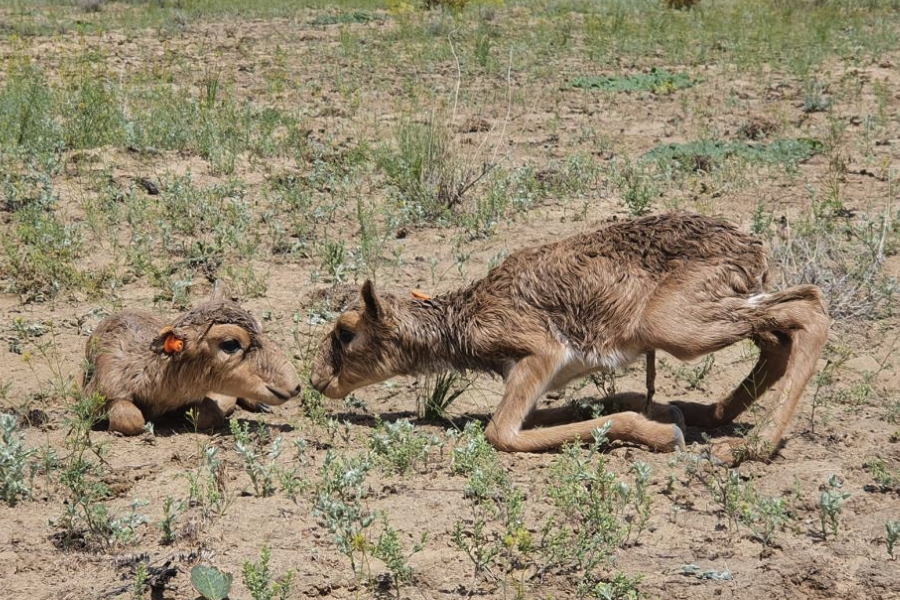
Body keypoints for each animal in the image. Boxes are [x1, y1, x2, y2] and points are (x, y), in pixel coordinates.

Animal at [312, 212, 828, 464]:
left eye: (345, 333)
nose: (318, 381)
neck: (465, 319)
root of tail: (752, 247)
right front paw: (667, 415)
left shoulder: (541, 353)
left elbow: (500, 433)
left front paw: (664, 434)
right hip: (722, 310)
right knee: (780, 340)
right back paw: (706, 414)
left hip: (677, 327)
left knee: (810, 308)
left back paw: (746, 449)